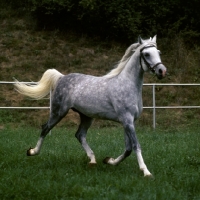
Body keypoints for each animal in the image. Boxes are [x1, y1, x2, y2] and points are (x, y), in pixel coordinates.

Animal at [14, 35, 166, 177]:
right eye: (146, 54)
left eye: (158, 52)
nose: (162, 71)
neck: (127, 86)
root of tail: (62, 77)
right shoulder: (127, 120)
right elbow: (135, 145)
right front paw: (146, 171)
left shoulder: (129, 122)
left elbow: (128, 149)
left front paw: (109, 161)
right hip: (59, 112)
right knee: (45, 128)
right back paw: (32, 151)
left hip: (86, 116)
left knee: (79, 135)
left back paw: (92, 160)